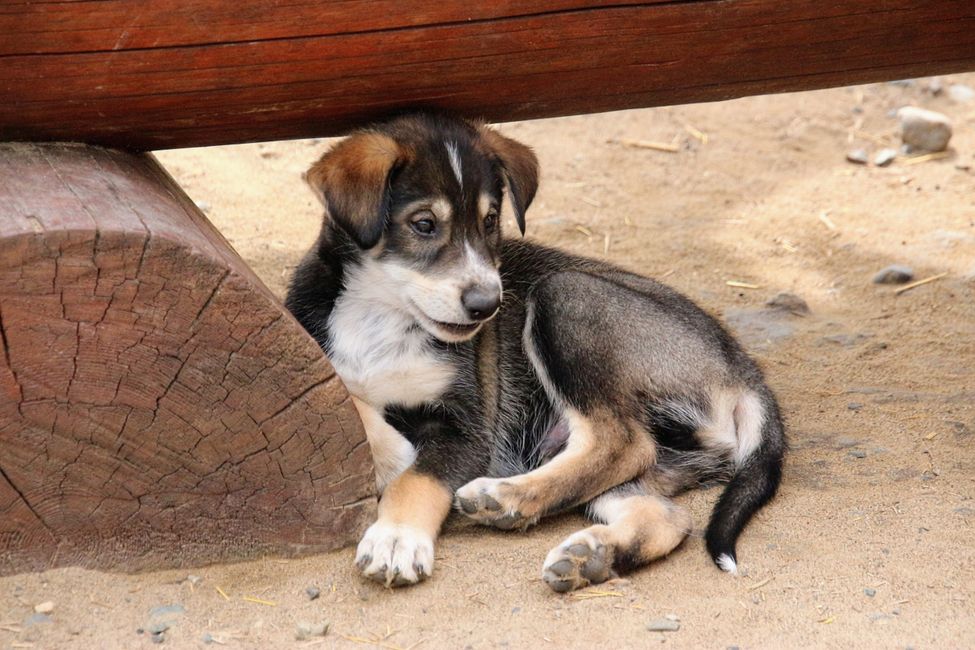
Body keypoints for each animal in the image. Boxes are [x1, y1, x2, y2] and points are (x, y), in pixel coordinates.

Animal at [284, 114, 784, 588]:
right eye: (423, 224)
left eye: (490, 221)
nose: (488, 305)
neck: (381, 315)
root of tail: (743, 369)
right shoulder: (311, 356)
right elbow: (349, 400)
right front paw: (393, 456)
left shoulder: (468, 428)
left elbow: (418, 478)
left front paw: (396, 539)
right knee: (666, 514)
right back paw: (592, 556)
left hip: (565, 296)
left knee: (622, 442)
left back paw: (505, 498)